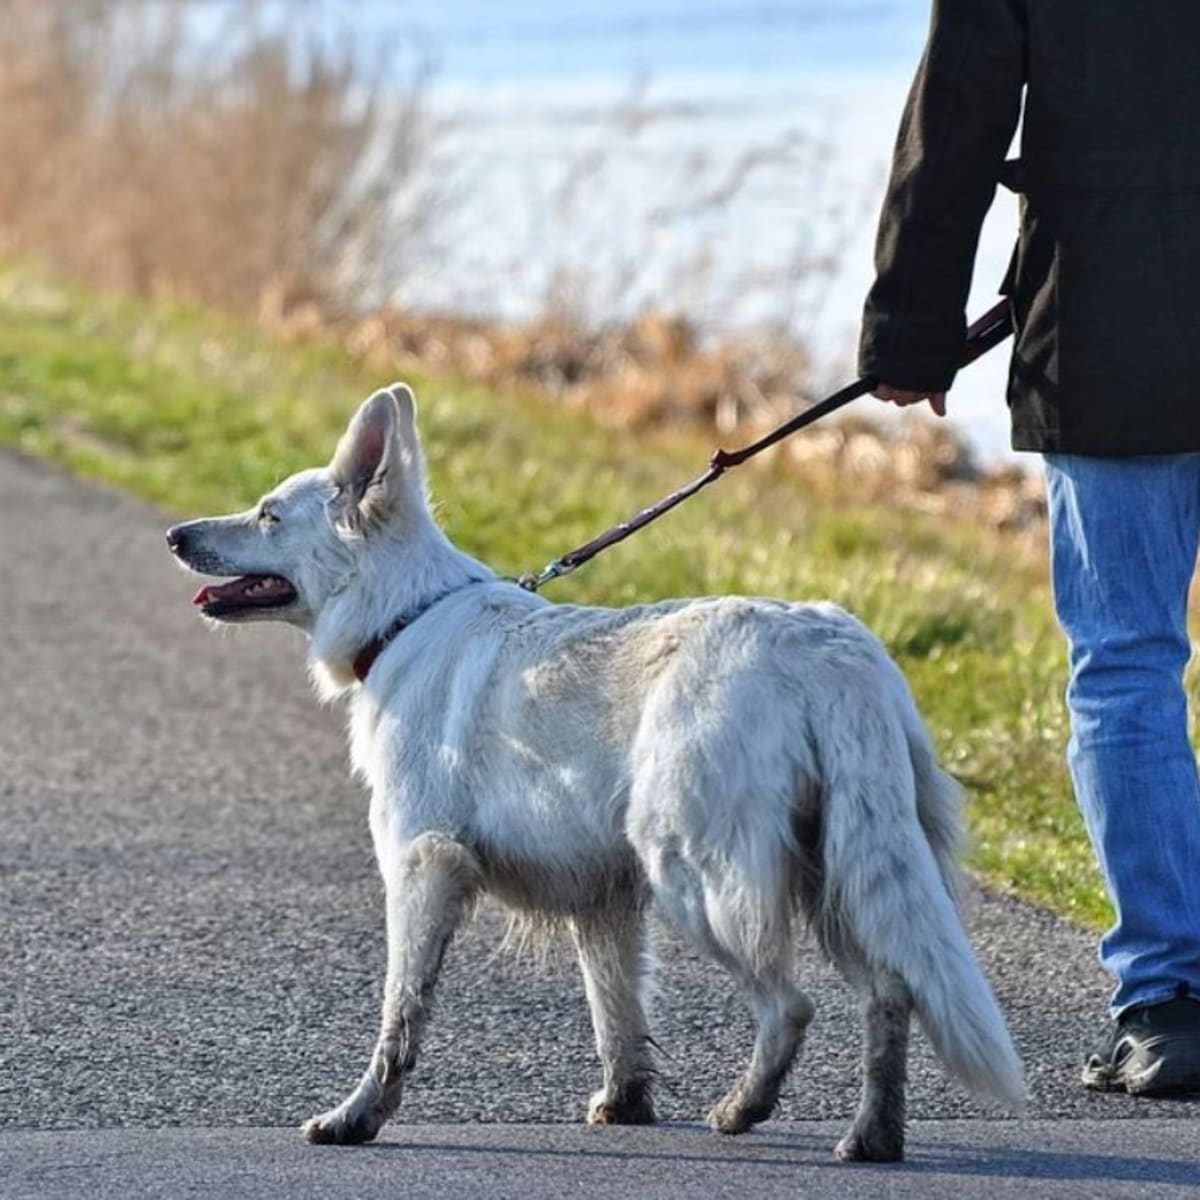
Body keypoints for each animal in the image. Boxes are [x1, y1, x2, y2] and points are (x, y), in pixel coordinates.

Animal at [164, 386, 1017, 1161]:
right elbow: (618, 1015)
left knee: (791, 1006)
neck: (403, 616)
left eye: (269, 515)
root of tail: (832, 651)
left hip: (700, 879)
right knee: (890, 993)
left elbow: (400, 1016)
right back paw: (872, 1137)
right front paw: (626, 1105)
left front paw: (357, 1117)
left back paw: (743, 1109)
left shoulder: (422, 868)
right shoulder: (602, 901)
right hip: (841, 875)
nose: (175, 534)